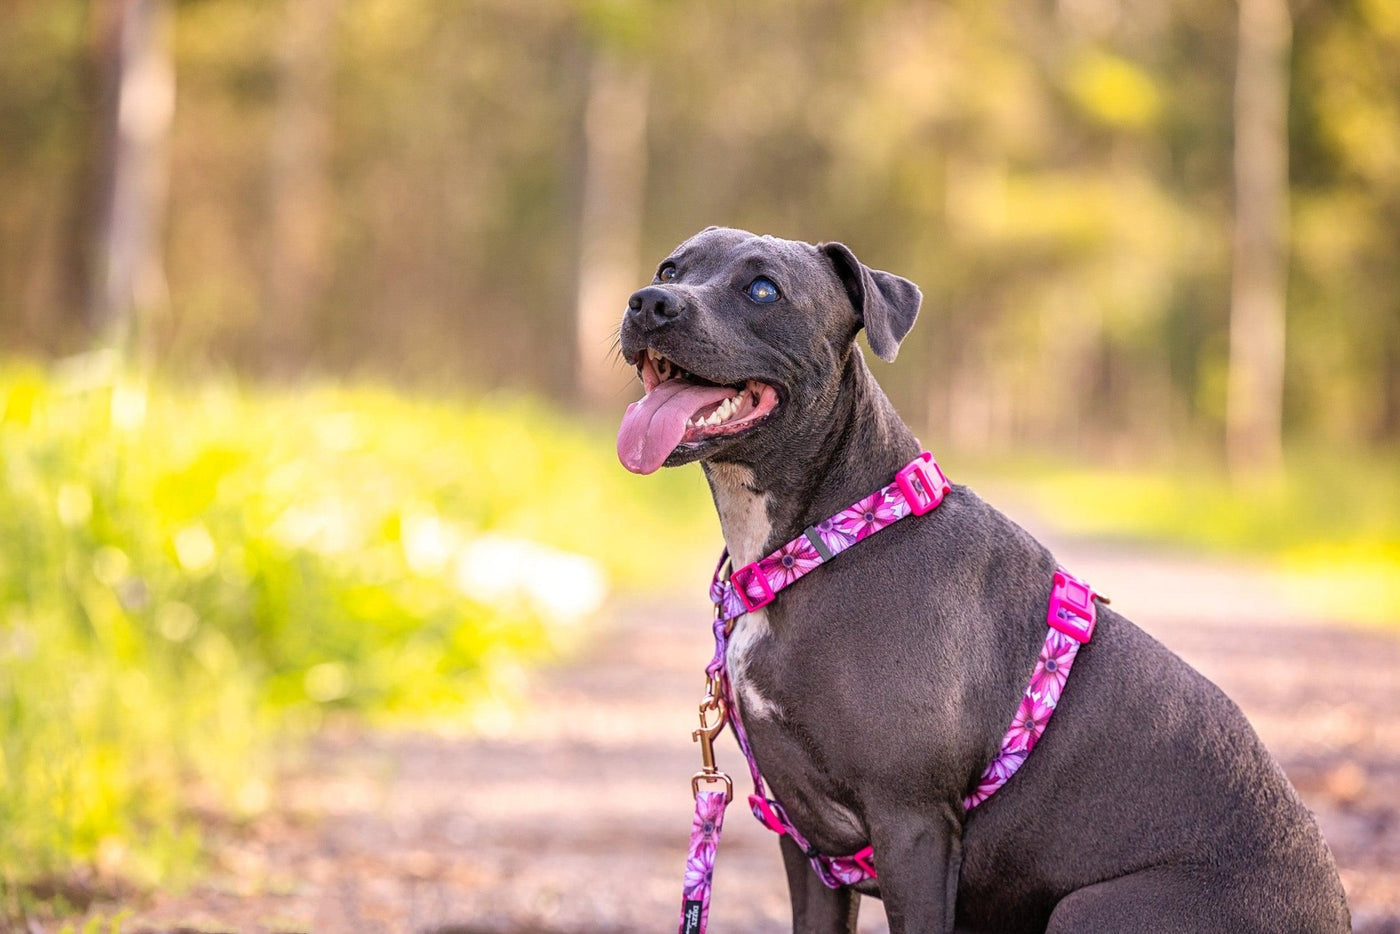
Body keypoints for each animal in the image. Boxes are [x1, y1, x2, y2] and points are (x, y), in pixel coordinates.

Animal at [618, 226, 1349, 934]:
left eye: (763, 289)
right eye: (671, 268)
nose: (650, 302)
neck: (827, 538)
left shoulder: (911, 824)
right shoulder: (809, 845)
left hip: (1094, 909)